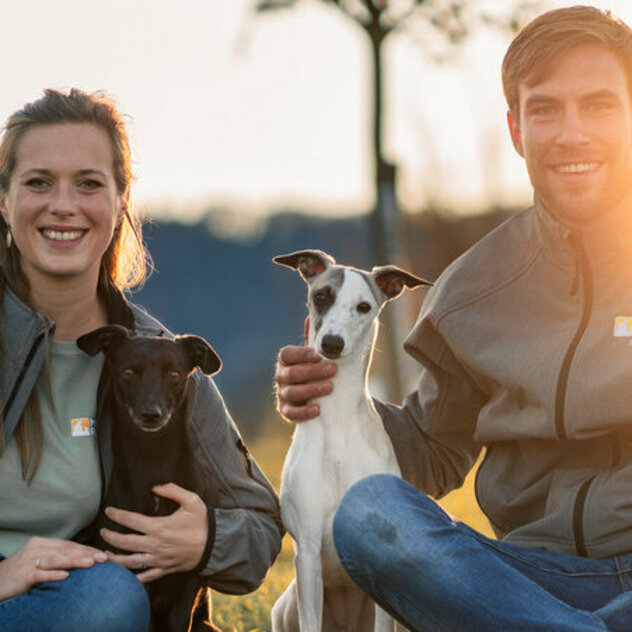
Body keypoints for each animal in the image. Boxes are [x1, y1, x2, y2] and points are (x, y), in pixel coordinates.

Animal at [77, 326, 222, 632]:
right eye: (129, 372)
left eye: (174, 375)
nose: (151, 414)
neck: (153, 458)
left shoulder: (187, 580)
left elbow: (181, 618)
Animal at [272, 251, 430, 632]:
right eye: (321, 296)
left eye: (363, 306)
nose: (332, 343)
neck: (339, 422)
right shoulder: (308, 553)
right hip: (286, 606)